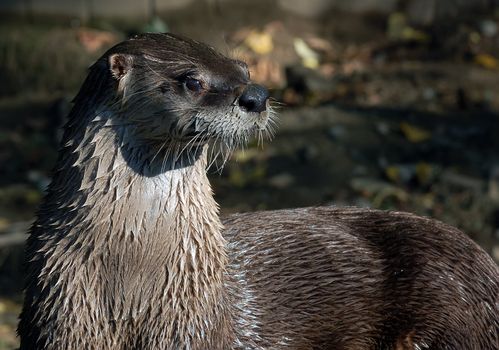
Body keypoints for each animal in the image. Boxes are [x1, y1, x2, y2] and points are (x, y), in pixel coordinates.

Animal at [17, 33, 498, 350]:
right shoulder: (63, 315)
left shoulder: (191, 331)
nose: (257, 96)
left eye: (244, 70)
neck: (133, 274)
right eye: (192, 80)